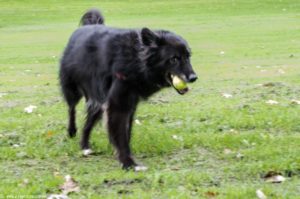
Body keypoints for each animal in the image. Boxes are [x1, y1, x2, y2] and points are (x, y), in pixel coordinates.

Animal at [59, 8, 198, 169]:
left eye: (188, 56)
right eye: (174, 59)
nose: (194, 77)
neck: (136, 60)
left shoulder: (129, 104)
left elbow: (126, 131)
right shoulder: (118, 105)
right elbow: (120, 133)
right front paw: (128, 162)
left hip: (99, 101)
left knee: (88, 123)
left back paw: (85, 146)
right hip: (73, 90)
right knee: (71, 109)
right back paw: (72, 131)